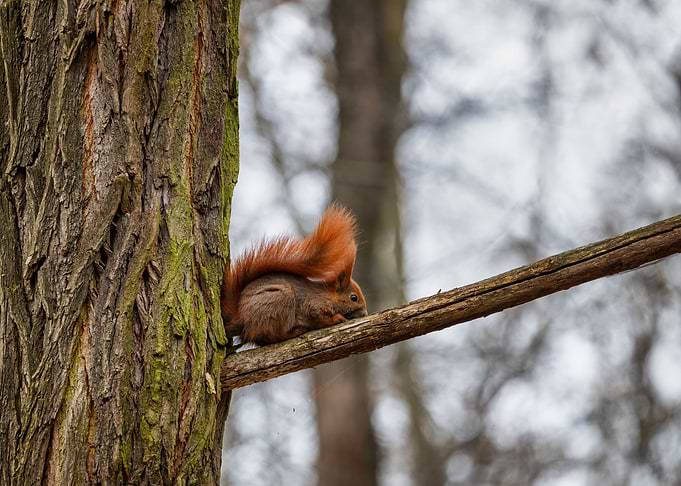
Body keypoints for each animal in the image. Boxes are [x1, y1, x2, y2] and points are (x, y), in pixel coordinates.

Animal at [221, 204, 368, 346]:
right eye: (353, 297)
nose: (365, 313)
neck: (328, 294)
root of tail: (240, 317)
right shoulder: (314, 304)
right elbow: (318, 316)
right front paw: (337, 318)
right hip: (279, 301)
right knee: (273, 335)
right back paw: (295, 332)